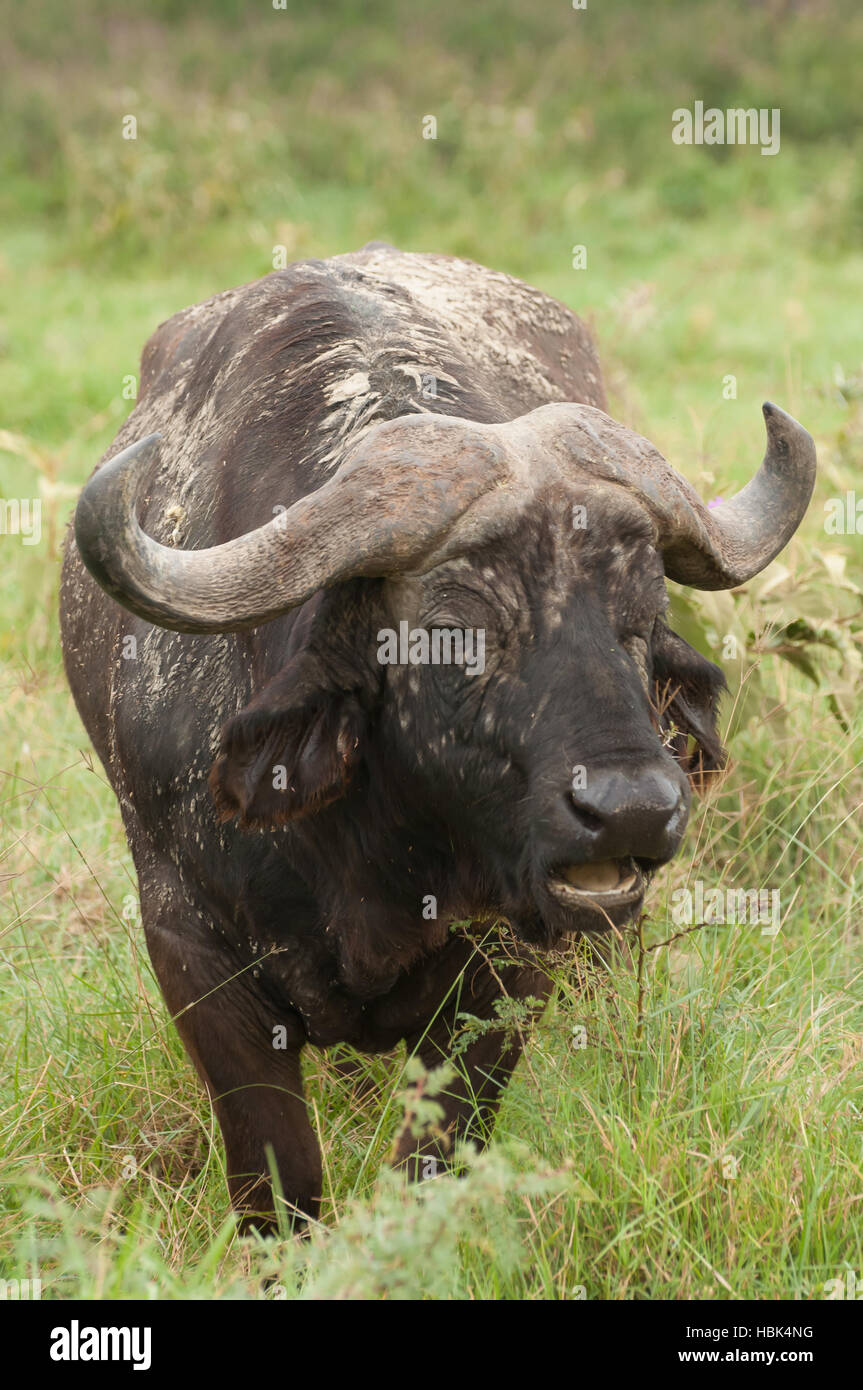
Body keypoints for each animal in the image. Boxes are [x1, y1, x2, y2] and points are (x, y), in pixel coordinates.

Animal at [60, 247, 817, 1228]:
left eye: (642, 620)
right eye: (454, 632)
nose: (631, 812)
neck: (362, 851)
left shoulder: (507, 969)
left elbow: (437, 1154)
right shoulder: (191, 949)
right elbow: (279, 1173)